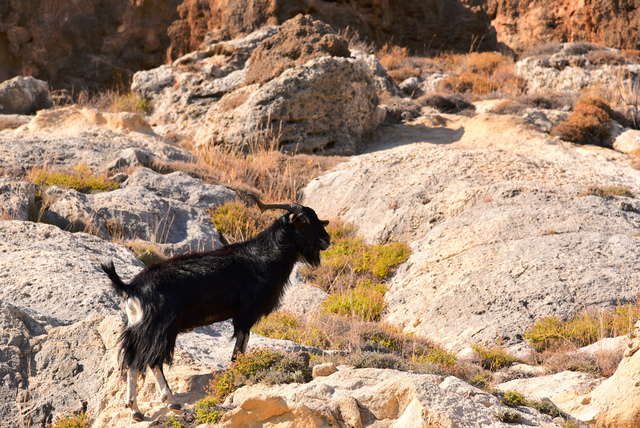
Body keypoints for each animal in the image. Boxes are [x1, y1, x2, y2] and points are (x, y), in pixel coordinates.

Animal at [101, 195, 330, 422]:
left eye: (318, 218)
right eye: (303, 221)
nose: (326, 240)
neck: (264, 257)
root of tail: (131, 288)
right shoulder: (246, 313)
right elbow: (240, 347)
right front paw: (239, 374)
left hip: (137, 328)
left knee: (132, 361)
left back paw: (135, 410)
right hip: (162, 326)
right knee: (153, 360)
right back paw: (172, 402)